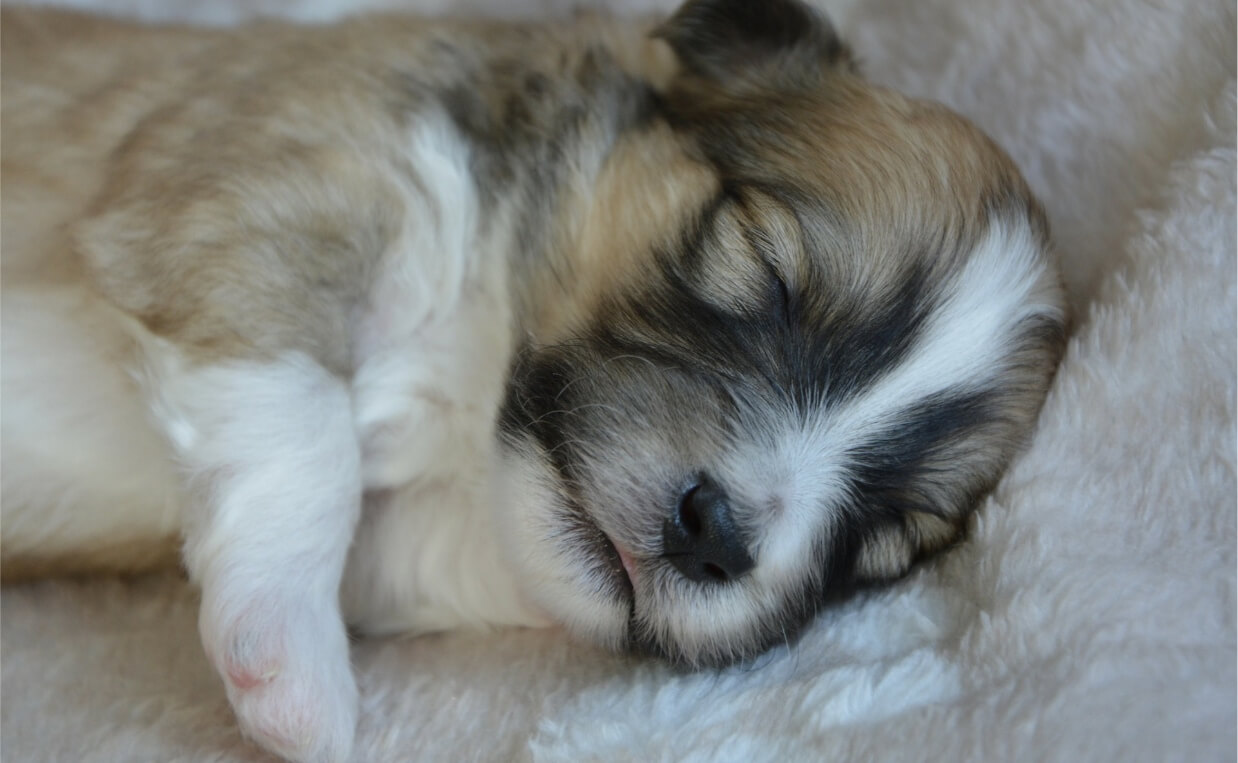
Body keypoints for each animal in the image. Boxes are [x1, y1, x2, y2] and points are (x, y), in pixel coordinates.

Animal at [0, 0, 1064, 758]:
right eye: (765, 266)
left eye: (885, 537)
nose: (715, 534)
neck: (478, 352)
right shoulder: (260, 181)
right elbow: (305, 428)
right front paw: (293, 668)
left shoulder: (409, 531)